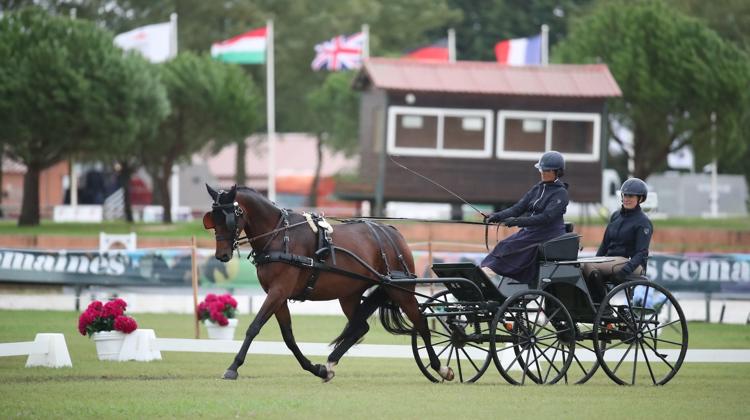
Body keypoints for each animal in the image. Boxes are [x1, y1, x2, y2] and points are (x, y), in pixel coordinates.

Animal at [203, 185, 456, 382]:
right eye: (212, 220)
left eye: (230, 217)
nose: (222, 255)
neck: (279, 235)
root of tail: (393, 233)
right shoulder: (279, 295)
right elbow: (288, 337)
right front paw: (315, 368)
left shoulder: (278, 291)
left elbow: (254, 327)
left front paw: (233, 367)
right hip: (349, 294)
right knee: (359, 328)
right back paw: (330, 365)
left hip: (400, 290)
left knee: (421, 323)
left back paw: (440, 368)